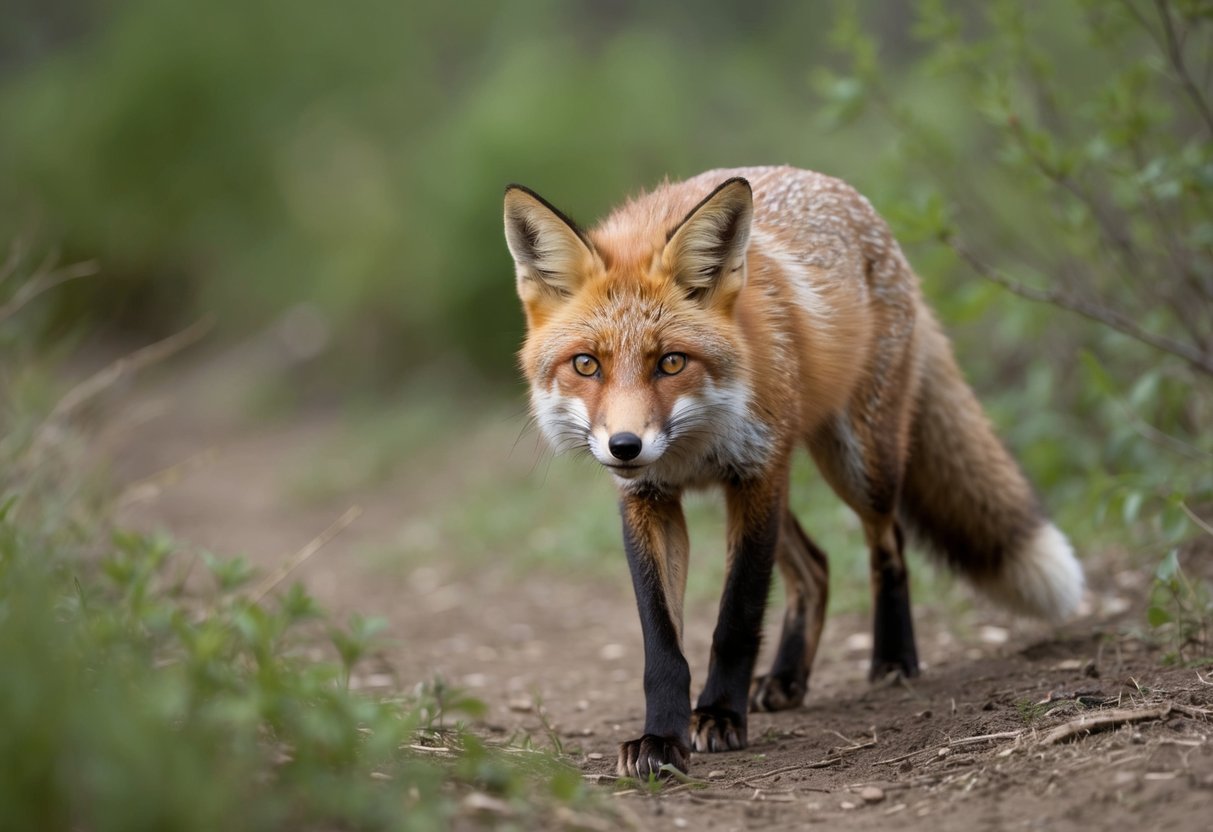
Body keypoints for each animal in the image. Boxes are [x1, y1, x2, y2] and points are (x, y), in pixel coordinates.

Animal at [502, 166, 1084, 779]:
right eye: (586, 364)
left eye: (672, 362)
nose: (624, 446)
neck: (693, 447)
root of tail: (850, 196)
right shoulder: (649, 497)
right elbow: (662, 644)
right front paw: (660, 739)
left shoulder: (757, 475)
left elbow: (736, 619)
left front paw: (720, 717)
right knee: (817, 567)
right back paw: (787, 679)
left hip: (858, 464)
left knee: (889, 543)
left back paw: (894, 659)